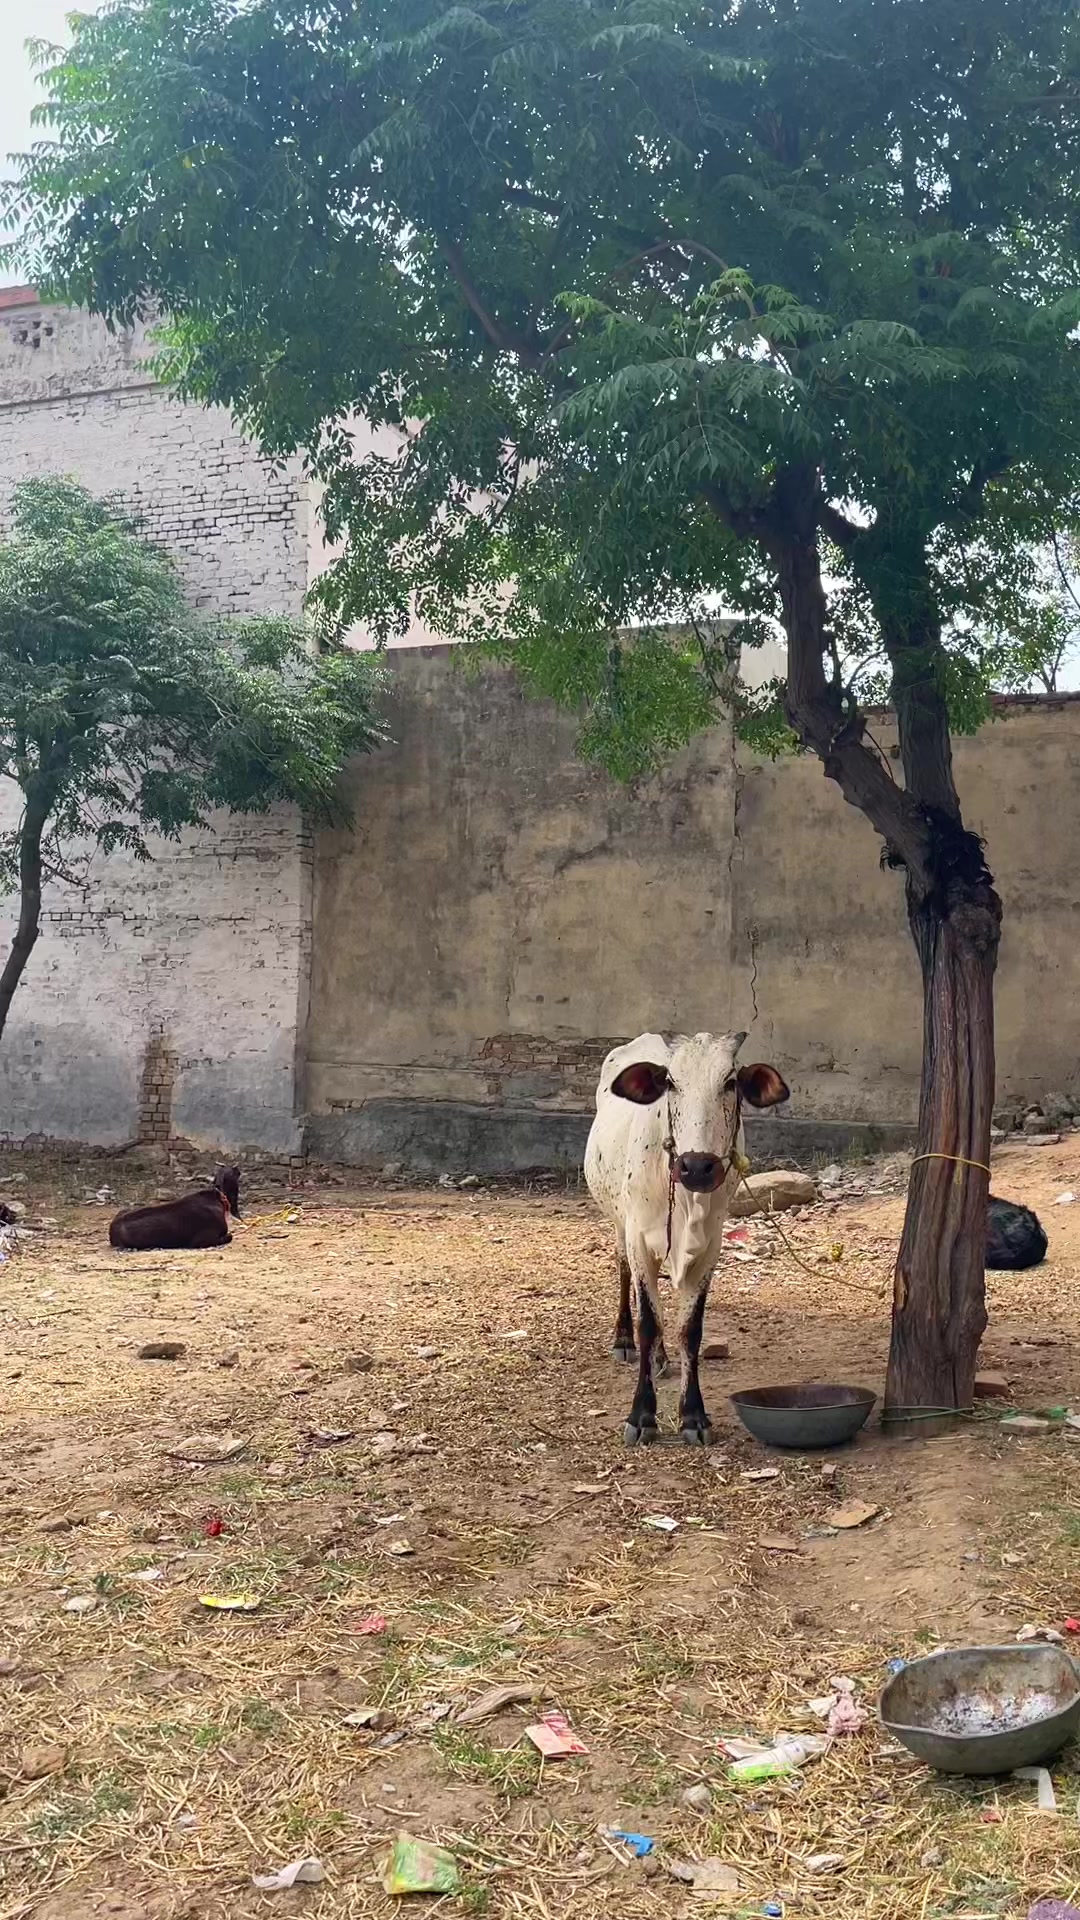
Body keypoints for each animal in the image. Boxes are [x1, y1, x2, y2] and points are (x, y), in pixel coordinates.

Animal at [109, 1167, 241, 1251]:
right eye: (231, 1171)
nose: (236, 1168)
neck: (218, 1197)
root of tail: (112, 1228)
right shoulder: (201, 1241)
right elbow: (229, 1236)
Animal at [585, 1032, 789, 1445]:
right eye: (670, 1082)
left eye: (730, 1082)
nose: (697, 1166)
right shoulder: (638, 1238)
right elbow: (649, 1323)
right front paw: (641, 1416)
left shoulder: (711, 1247)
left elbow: (688, 1329)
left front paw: (693, 1416)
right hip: (619, 1223)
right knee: (624, 1273)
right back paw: (623, 1340)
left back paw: (662, 1359)